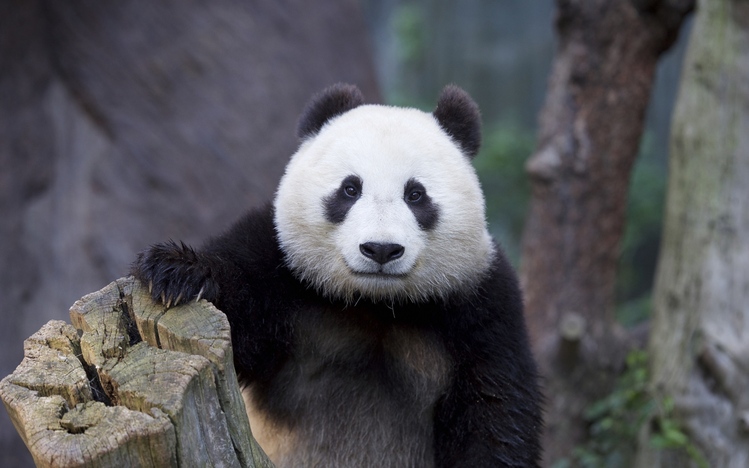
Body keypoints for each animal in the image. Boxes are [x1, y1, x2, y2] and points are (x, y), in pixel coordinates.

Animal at [132, 83, 542, 467]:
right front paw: (174, 271)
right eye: (350, 188)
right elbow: (240, 314)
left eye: (415, 194)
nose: (381, 249)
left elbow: (495, 411)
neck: (376, 303)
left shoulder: (481, 307)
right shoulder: (280, 265)